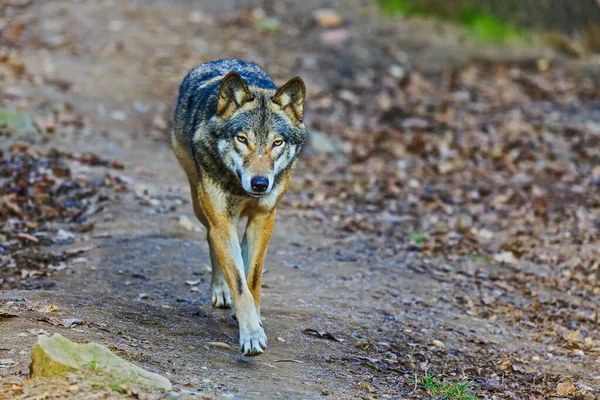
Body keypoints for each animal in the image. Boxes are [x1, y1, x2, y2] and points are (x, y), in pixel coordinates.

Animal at [171, 60, 308, 356]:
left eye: (277, 142)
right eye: (242, 139)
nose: (260, 183)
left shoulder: (264, 217)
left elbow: (252, 278)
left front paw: (255, 318)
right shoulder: (221, 220)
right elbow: (238, 281)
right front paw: (252, 335)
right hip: (202, 209)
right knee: (212, 241)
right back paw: (222, 291)